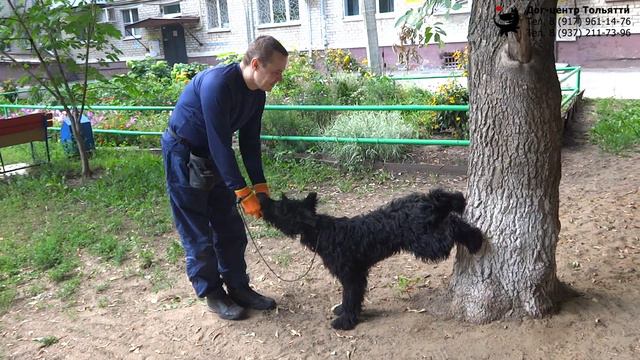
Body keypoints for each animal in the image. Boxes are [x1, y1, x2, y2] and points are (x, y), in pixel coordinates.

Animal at [258, 190, 482, 330]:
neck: (322, 231)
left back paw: (475, 240)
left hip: (426, 245)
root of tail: (426, 203)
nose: (261, 198)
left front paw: (345, 321)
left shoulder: (351, 275)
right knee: (448, 212)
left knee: (451, 227)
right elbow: (350, 297)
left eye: (281, 207)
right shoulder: (355, 275)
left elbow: (350, 296)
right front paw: (343, 311)